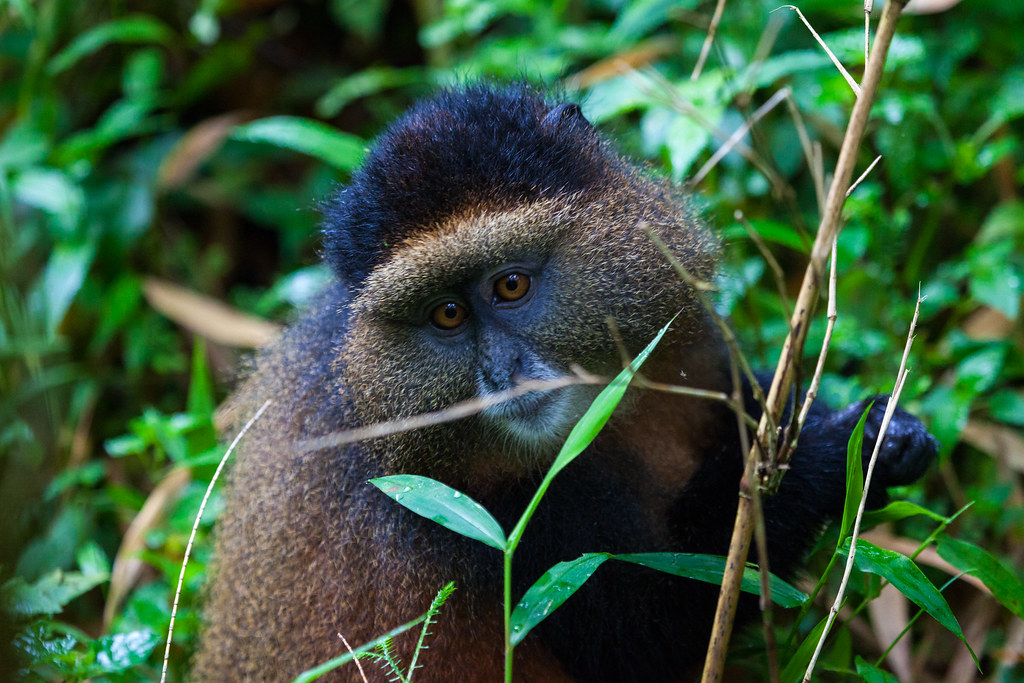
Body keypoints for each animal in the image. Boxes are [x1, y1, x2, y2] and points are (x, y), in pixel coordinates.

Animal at [192, 83, 936, 682]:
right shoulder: (481, 507)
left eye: (511, 286)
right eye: (447, 314)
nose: (502, 375)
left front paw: (888, 432)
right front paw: (834, 452)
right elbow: (655, 635)